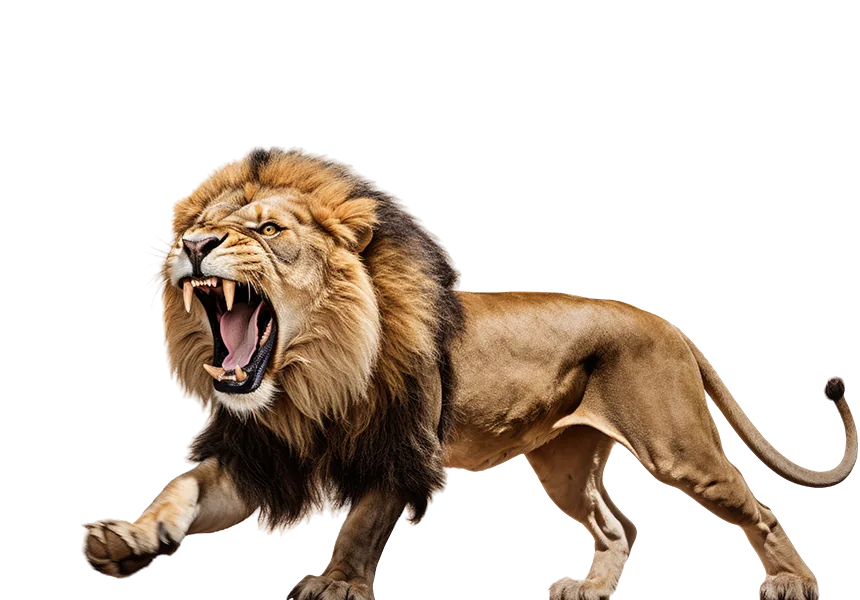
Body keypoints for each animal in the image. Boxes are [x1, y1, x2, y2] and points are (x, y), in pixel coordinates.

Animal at [83, 146, 856, 600]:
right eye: (202, 222)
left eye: (269, 231)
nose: (193, 243)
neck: (310, 376)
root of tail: (666, 323)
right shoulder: (264, 452)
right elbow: (184, 488)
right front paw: (127, 538)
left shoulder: (403, 449)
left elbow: (363, 520)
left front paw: (333, 579)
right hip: (563, 463)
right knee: (617, 526)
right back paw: (590, 587)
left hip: (677, 447)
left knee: (760, 509)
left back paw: (794, 583)